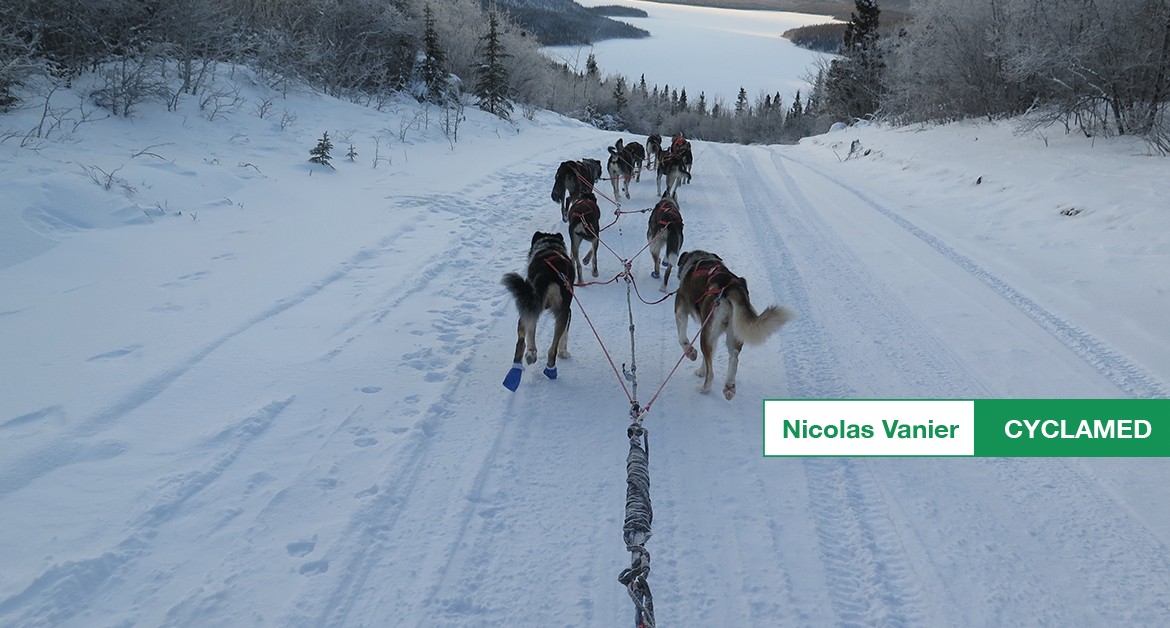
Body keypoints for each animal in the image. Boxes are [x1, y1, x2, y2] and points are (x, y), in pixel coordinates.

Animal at [501, 231, 576, 390]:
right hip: (556, 309)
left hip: (527, 304)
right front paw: (564, 353)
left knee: (525, 342)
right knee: (545, 346)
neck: (549, 245)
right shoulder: (568, 311)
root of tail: (549, 274)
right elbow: (565, 336)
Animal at [674, 250, 795, 400]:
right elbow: (708, 358)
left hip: (707, 333)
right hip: (731, 333)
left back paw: (704, 388)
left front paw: (691, 353)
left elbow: (682, 338)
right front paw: (701, 370)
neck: (701, 259)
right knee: (734, 357)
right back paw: (729, 387)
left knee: (711, 372)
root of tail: (730, 287)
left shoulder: (681, 306)